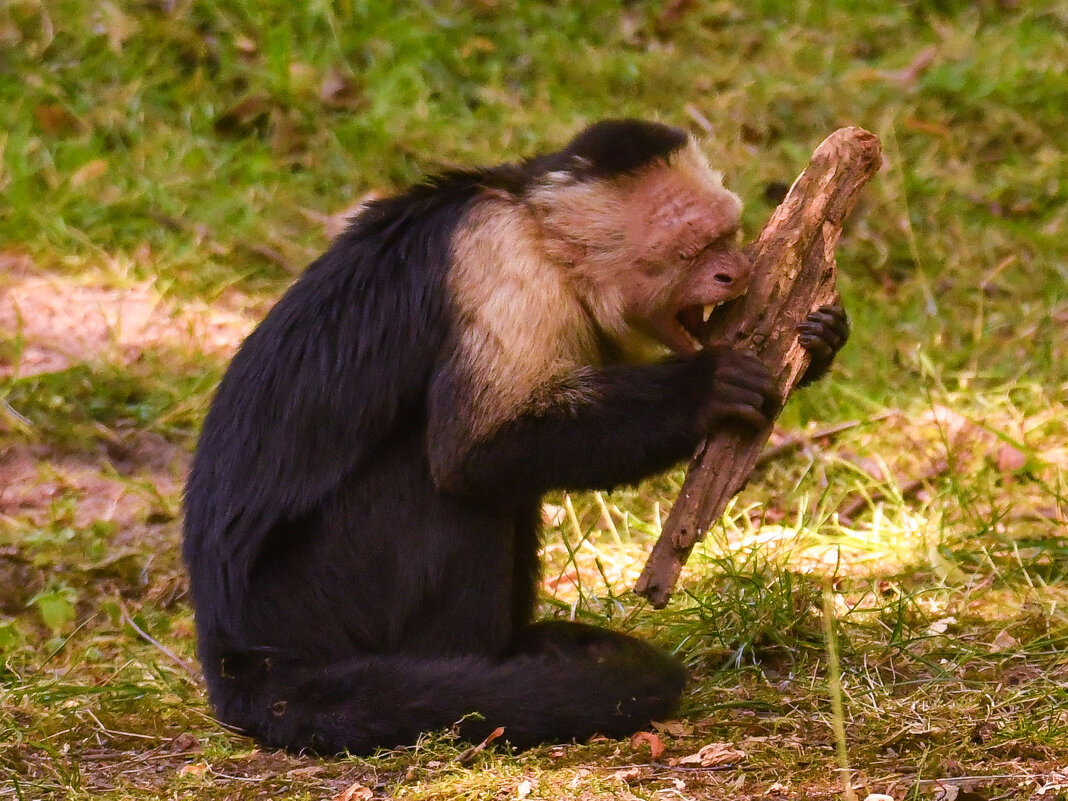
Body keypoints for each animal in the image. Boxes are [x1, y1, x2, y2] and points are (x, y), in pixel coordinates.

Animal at [183, 119, 850, 760]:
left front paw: (821, 340)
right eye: (694, 248)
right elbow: (472, 453)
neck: (539, 231)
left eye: (728, 235)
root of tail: (234, 658)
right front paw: (703, 389)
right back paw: (466, 680)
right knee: (439, 479)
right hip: (313, 600)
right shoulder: (499, 259)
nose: (736, 271)